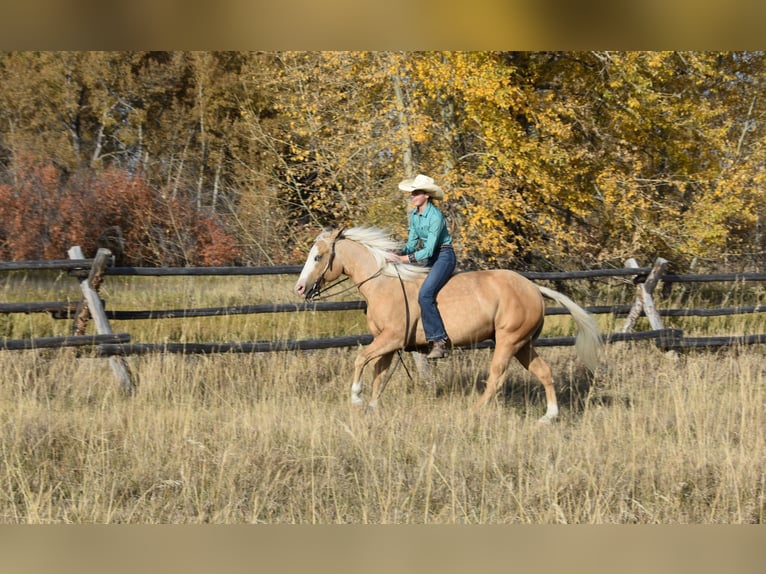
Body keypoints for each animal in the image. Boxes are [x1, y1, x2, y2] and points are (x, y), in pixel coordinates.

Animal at [294, 226, 602, 423]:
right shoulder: (388, 345)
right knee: (544, 372)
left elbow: (360, 360)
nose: (299, 288)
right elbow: (378, 376)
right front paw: (370, 408)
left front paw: (356, 399)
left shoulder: (391, 339)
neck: (384, 284)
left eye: (318, 257)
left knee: (496, 377)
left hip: (508, 341)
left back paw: (474, 411)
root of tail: (534, 288)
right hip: (523, 344)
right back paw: (549, 417)